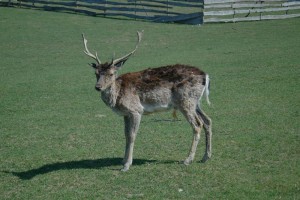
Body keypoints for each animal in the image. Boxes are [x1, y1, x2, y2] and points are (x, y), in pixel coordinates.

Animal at [82, 31, 212, 172]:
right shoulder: (126, 114)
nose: (98, 87)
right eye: (96, 73)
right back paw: (206, 157)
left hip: (186, 101)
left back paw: (188, 160)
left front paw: (126, 165)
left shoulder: (136, 110)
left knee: (197, 125)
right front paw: (123, 160)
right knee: (207, 120)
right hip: (195, 103)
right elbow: (126, 135)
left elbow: (132, 135)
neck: (118, 95)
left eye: (111, 74)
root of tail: (205, 76)